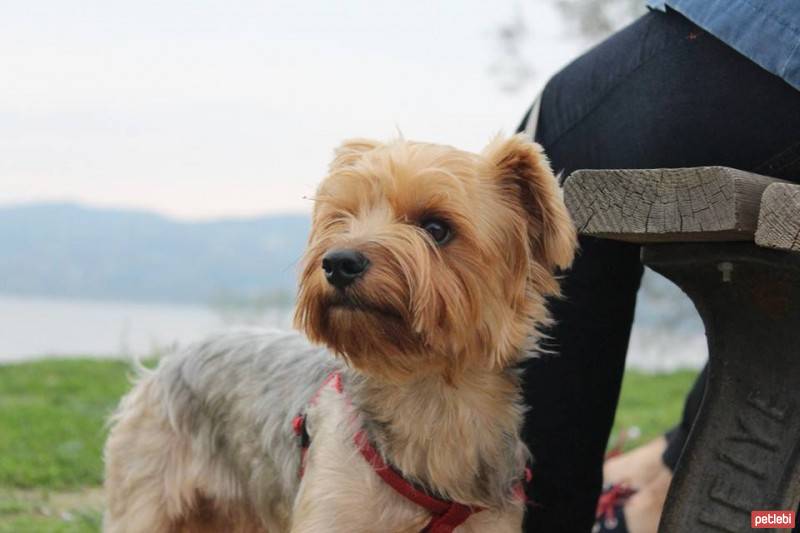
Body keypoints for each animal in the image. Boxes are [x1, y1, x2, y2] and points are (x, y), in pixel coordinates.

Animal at [104, 134, 576, 532]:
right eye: (342, 219)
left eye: (437, 228)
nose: (338, 262)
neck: (431, 394)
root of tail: (170, 360)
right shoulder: (332, 509)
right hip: (148, 494)